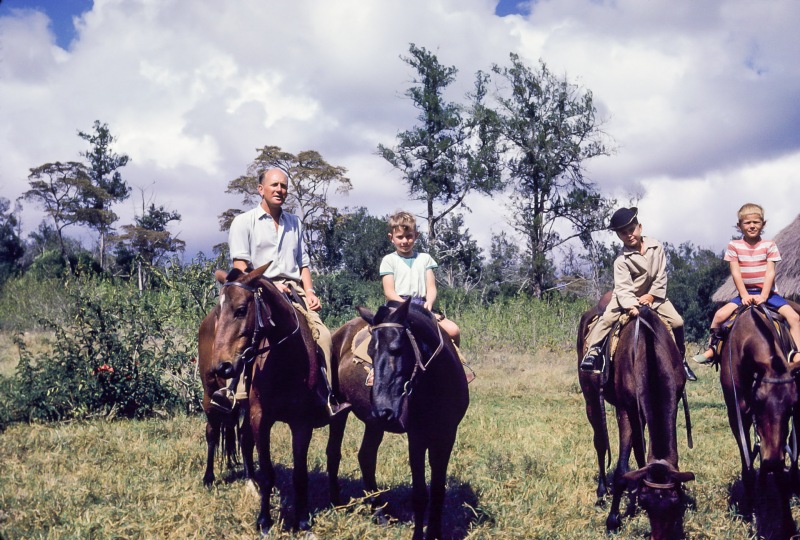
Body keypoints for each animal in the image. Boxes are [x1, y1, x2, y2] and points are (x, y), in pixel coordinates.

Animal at [348, 300, 468, 540]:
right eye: (370, 352)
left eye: (397, 348)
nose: (382, 409)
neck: (436, 385)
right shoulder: (417, 437)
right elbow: (420, 494)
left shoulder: (447, 434)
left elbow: (438, 490)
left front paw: (435, 532)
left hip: (373, 425)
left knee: (366, 457)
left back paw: (380, 514)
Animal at [720, 304, 800, 540]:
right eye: (758, 401)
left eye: (791, 405)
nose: (771, 461)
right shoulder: (737, 415)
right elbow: (747, 464)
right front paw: (749, 510)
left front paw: (787, 525)